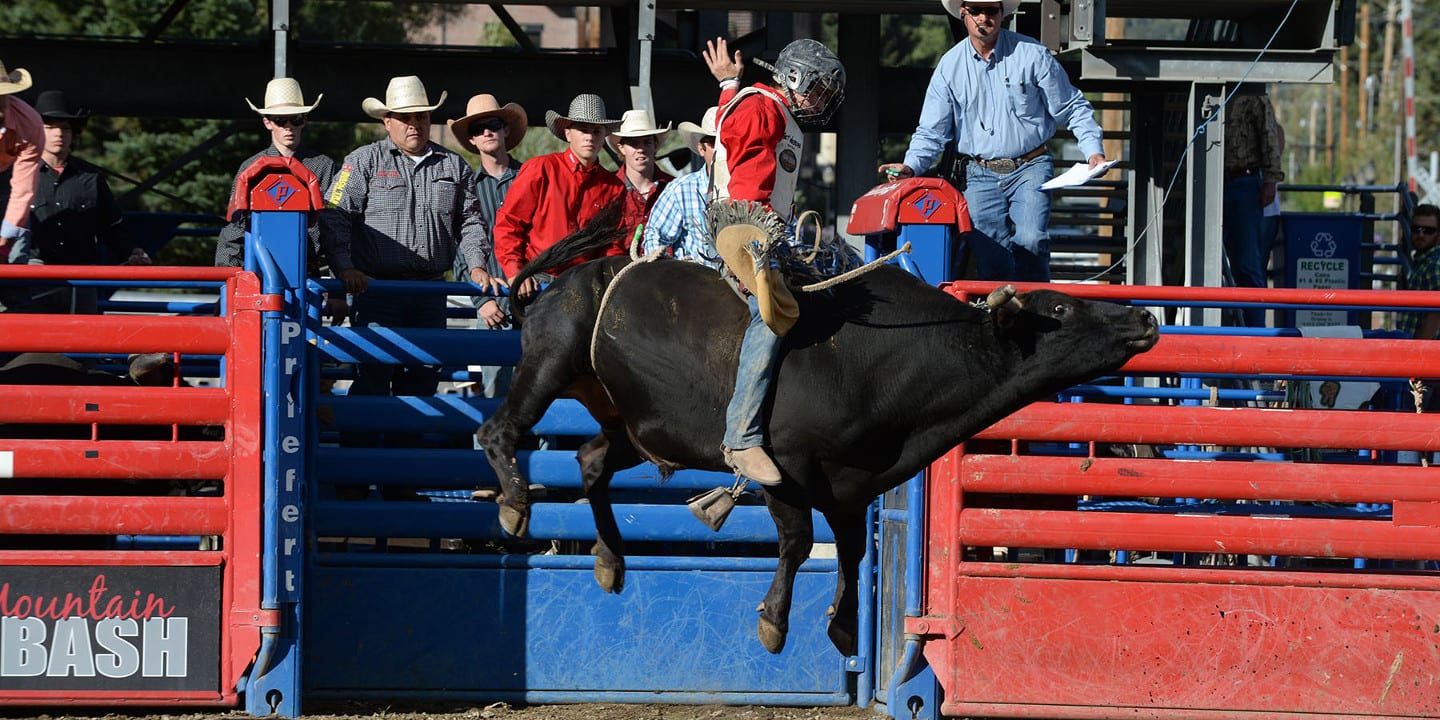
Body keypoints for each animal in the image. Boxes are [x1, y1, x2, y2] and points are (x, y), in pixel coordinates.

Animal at [478, 244, 1163, 656]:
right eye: (1058, 307)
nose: (1147, 320)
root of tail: (558, 281)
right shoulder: (786, 466)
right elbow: (798, 542)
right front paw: (775, 623)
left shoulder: (852, 484)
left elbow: (854, 550)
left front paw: (845, 625)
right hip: (550, 362)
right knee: (499, 432)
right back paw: (514, 504)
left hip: (635, 425)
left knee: (592, 461)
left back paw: (610, 560)